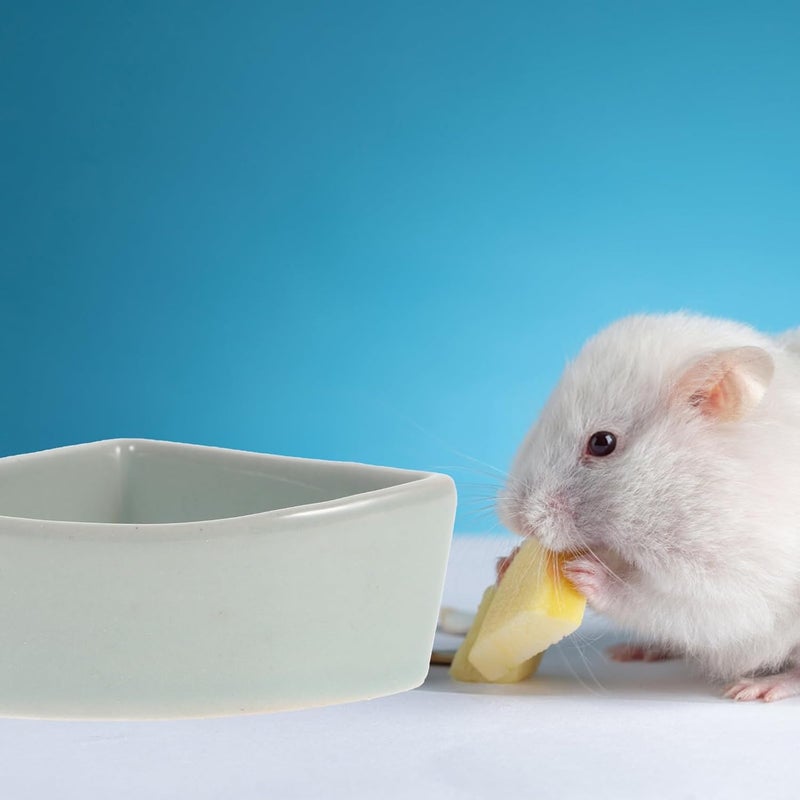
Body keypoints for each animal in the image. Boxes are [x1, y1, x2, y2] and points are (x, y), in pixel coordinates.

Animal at [497, 312, 800, 701]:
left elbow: (652, 599)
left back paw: (753, 689)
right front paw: (505, 563)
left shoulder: (730, 580)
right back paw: (634, 651)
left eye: (602, 443)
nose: (516, 521)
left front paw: (585, 574)